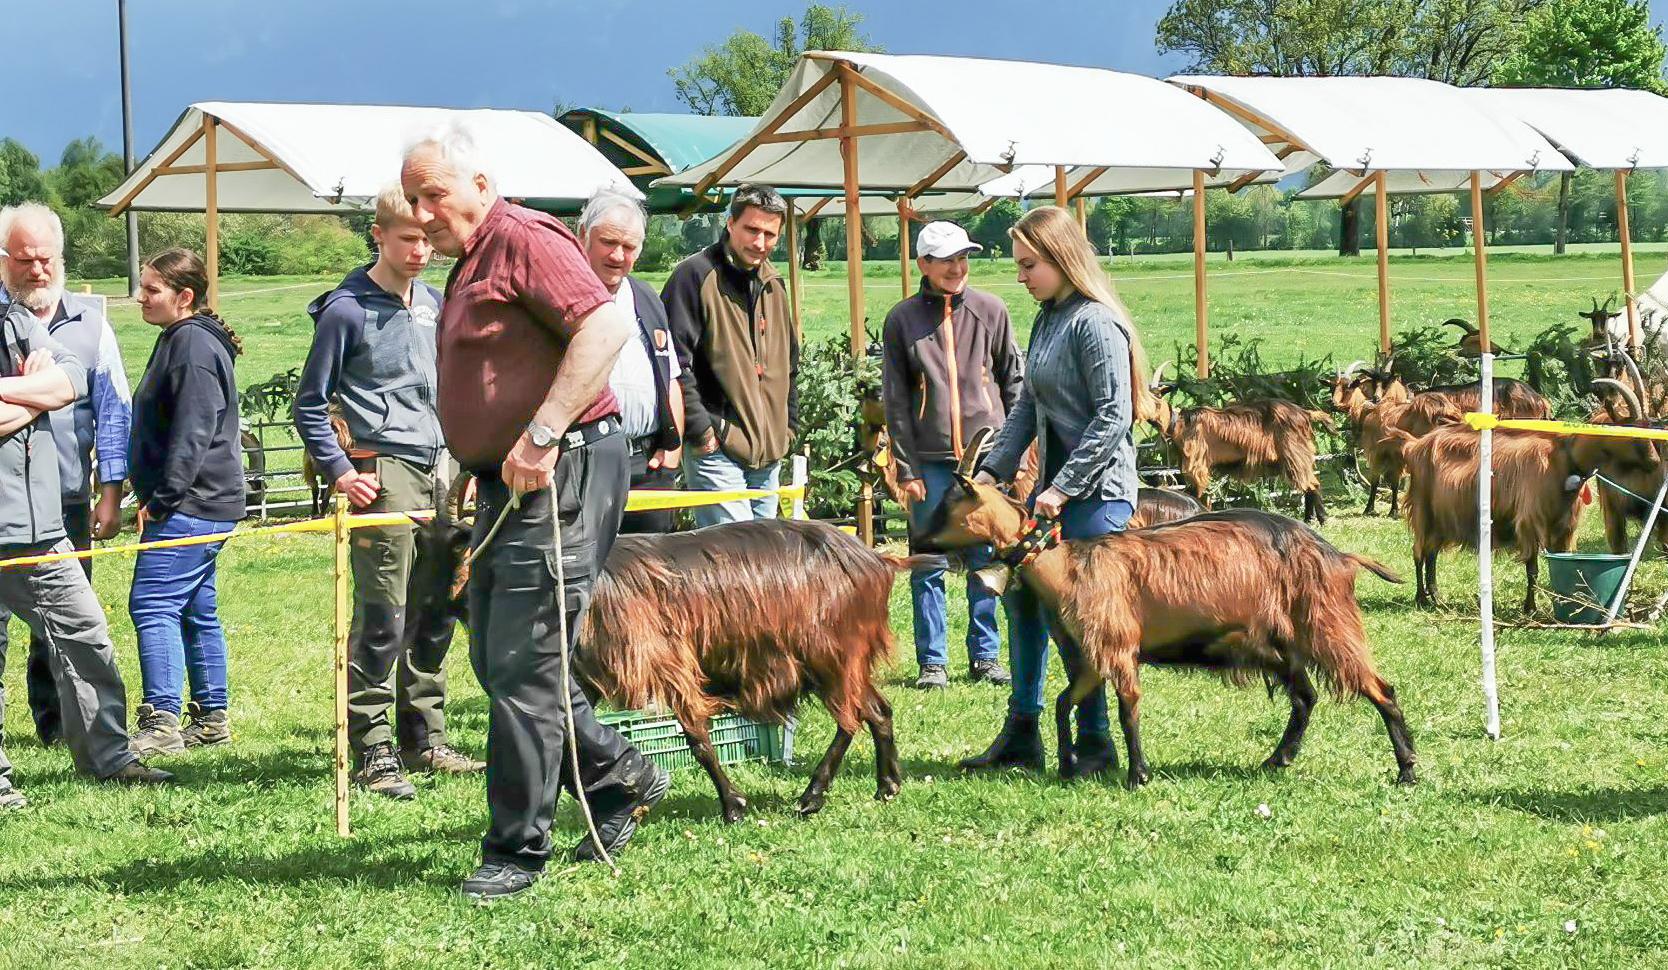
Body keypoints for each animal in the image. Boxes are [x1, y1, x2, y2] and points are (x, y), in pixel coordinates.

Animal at [920, 480, 1414, 790]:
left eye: (949, 506)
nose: (919, 542)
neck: (1069, 567)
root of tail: (1340, 556)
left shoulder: (1119, 648)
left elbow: (1128, 710)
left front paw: (1138, 775)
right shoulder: (1095, 656)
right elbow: (1063, 703)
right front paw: (1066, 765)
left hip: (1326, 624)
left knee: (1380, 688)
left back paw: (1407, 770)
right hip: (1279, 645)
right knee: (1306, 697)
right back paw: (1277, 760)